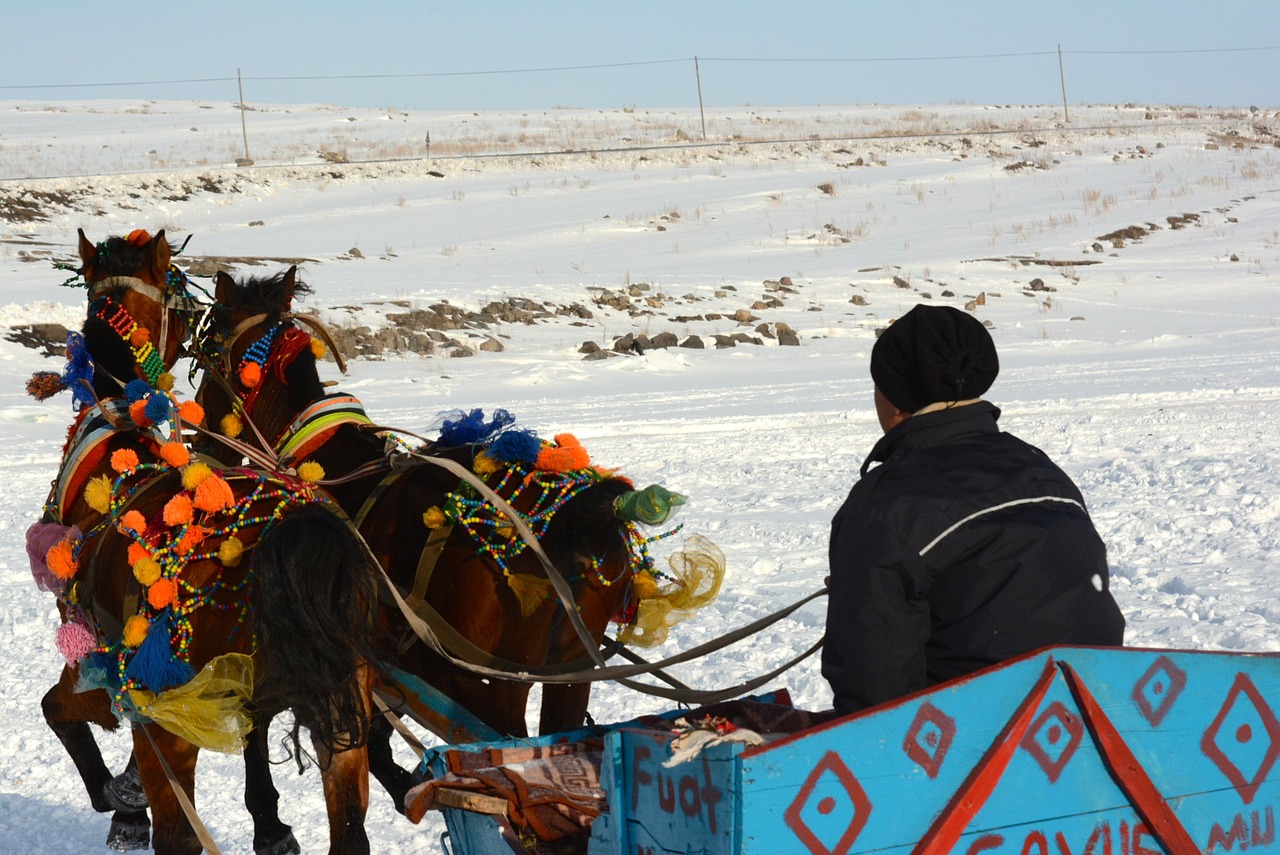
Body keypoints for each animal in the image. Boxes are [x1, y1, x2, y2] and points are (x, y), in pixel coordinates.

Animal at [37, 230, 381, 849]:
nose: (209, 441)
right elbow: (254, 742)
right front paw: (270, 825)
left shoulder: (98, 666)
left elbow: (57, 711)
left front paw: (119, 802)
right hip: (347, 716)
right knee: (350, 831)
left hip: (175, 726)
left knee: (179, 837)